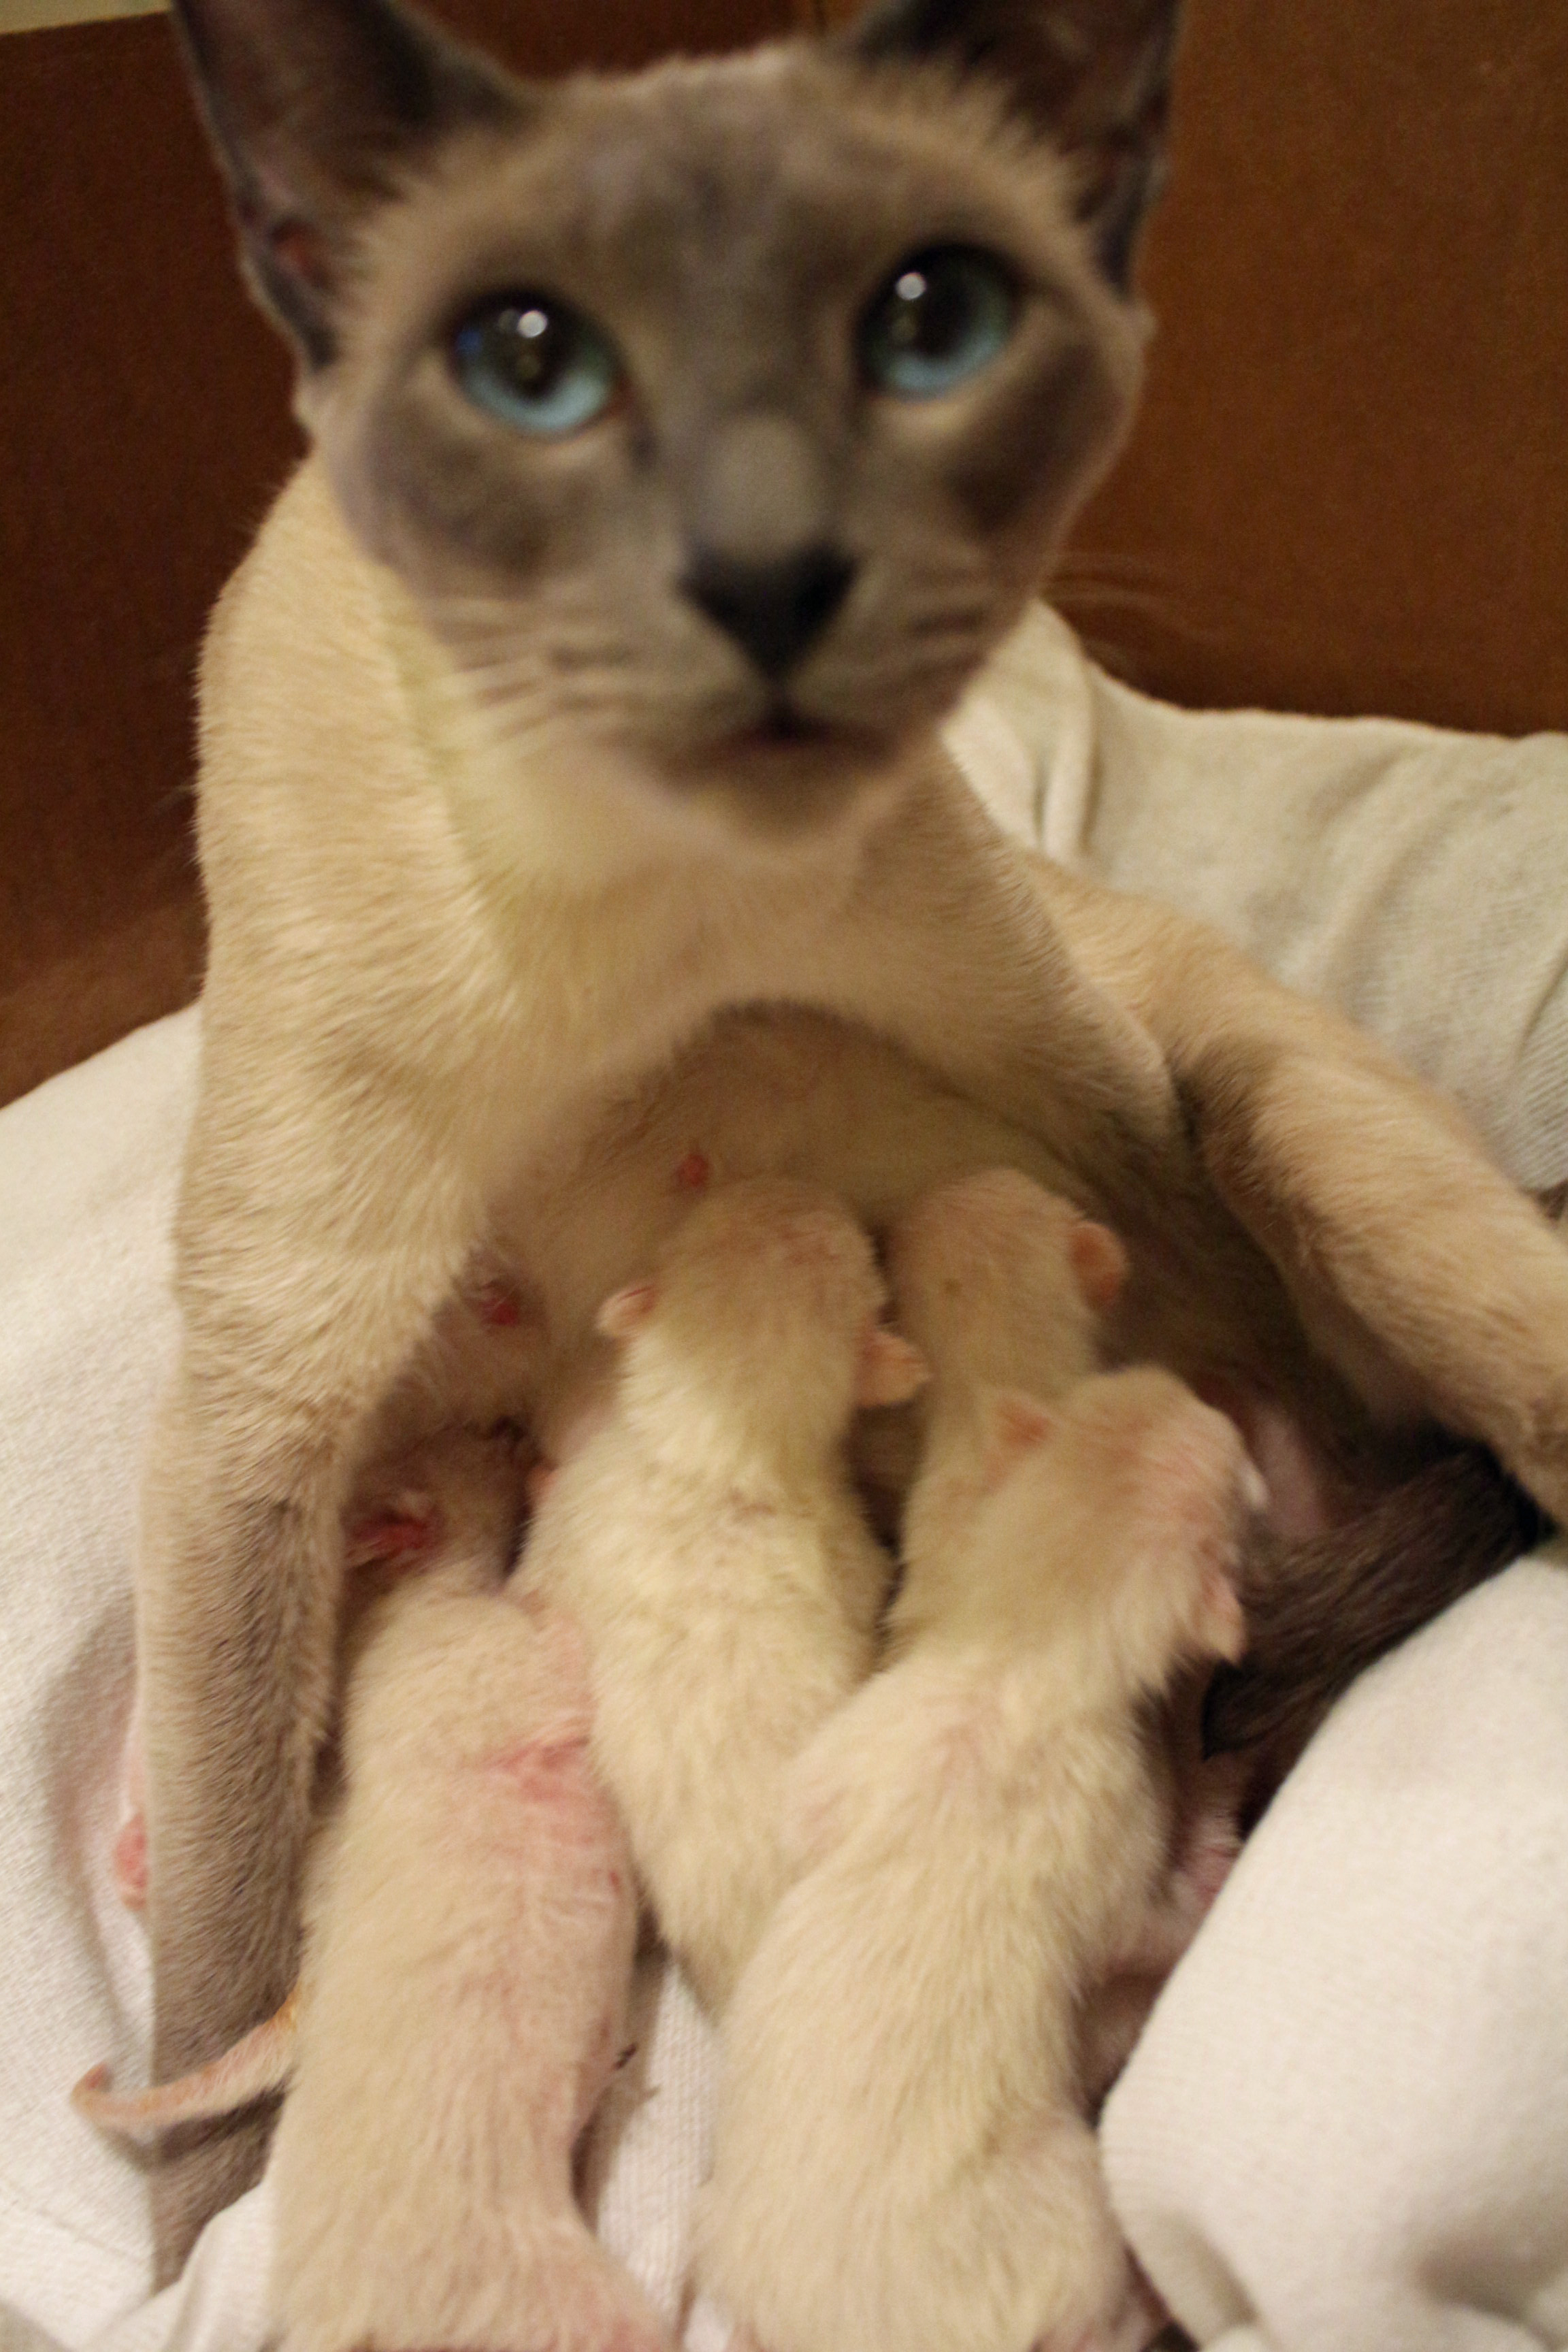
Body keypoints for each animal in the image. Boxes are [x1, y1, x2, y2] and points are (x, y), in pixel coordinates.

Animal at [141, 0, 1568, 2273]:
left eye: (926, 327)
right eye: (529, 365)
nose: (771, 577)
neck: (651, 919)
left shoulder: (1094, 1089)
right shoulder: (262, 1430)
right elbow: (217, 1967)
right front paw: (200, 2250)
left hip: (1282, 1133)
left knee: (1461, 1429)